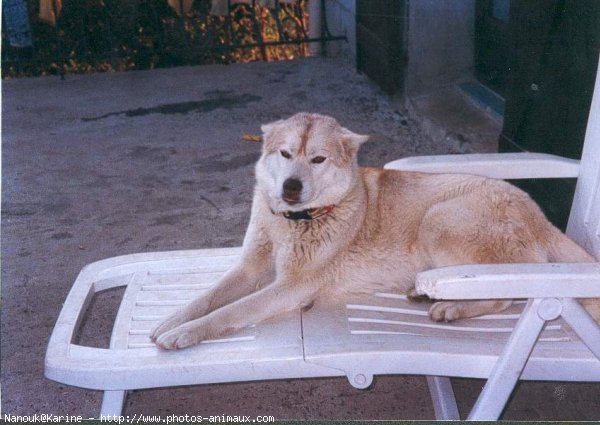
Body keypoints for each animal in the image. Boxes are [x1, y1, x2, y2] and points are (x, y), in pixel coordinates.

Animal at [149, 112, 596, 348]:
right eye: (286, 154)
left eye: (318, 159)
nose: (290, 187)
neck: (296, 222)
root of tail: (540, 215)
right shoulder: (249, 269)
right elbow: (209, 298)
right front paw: (172, 320)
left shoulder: (290, 287)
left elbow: (231, 310)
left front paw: (184, 333)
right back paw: (424, 292)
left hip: (438, 221)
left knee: (505, 295)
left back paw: (450, 307)